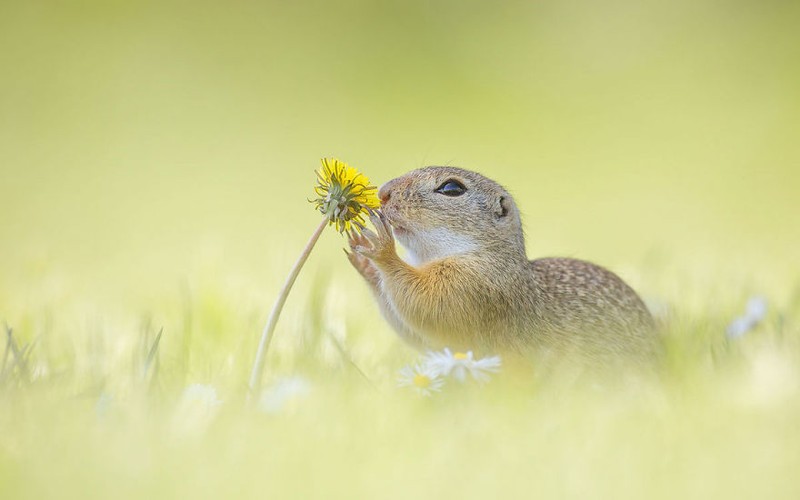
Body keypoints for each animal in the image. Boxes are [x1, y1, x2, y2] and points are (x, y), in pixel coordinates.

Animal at [346, 166, 656, 362]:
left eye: (451, 188)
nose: (383, 193)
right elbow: (417, 333)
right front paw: (365, 263)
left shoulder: (472, 286)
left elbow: (427, 304)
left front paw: (381, 249)